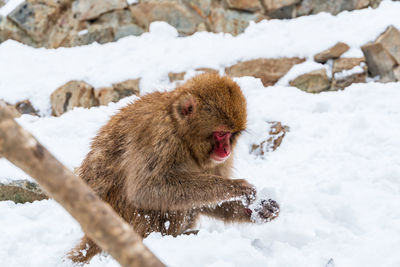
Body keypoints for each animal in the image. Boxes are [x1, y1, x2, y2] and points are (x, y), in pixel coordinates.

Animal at [69, 73, 280, 264]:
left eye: (231, 134)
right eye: (220, 134)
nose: (227, 150)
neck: (181, 132)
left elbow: (212, 201)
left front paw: (263, 210)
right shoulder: (159, 135)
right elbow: (144, 190)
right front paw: (236, 188)